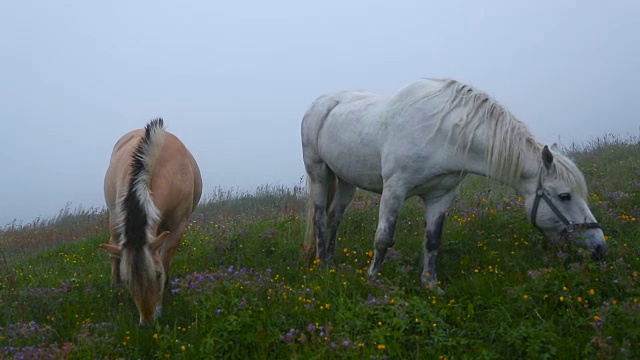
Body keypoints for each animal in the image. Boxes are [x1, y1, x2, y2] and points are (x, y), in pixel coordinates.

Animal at [101, 119, 201, 326]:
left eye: (158, 275)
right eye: (128, 281)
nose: (147, 322)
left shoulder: (179, 225)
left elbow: (166, 256)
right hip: (113, 217)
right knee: (113, 246)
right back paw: (113, 283)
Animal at [302, 78, 608, 290]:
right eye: (565, 196)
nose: (599, 248)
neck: (444, 134)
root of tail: (320, 103)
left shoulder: (441, 195)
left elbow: (433, 240)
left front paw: (430, 284)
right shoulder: (394, 190)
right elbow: (383, 239)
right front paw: (372, 280)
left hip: (346, 181)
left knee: (334, 217)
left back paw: (330, 261)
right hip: (319, 173)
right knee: (320, 217)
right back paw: (321, 266)